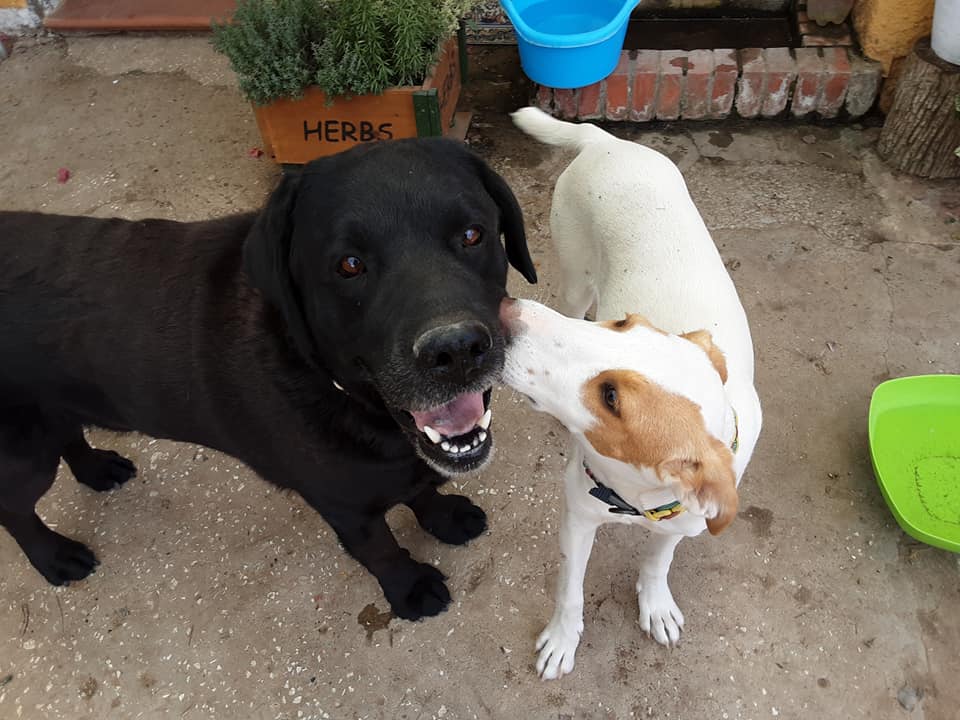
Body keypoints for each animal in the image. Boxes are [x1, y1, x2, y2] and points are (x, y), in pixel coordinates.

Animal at [0, 137, 536, 621]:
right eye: (350, 264)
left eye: (472, 235)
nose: (456, 349)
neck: (333, 387)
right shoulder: (344, 506)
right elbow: (380, 550)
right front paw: (408, 587)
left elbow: (421, 489)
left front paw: (443, 517)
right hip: (23, 456)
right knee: (15, 512)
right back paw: (54, 557)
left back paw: (97, 469)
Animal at [502, 107, 761, 678]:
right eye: (624, 324)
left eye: (612, 399)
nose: (507, 313)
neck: (638, 496)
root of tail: (607, 140)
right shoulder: (577, 517)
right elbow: (570, 592)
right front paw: (562, 639)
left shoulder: (683, 524)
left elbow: (658, 561)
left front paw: (656, 603)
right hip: (576, 280)